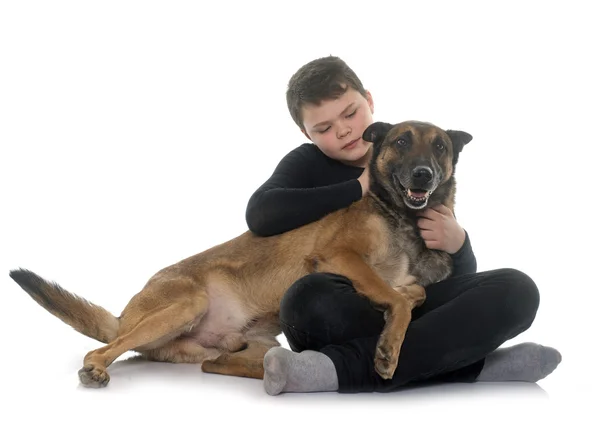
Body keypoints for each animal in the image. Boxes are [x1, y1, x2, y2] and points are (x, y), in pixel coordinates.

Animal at [7, 120, 472, 388]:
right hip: (185, 304)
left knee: (221, 364)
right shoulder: (340, 256)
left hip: (244, 345)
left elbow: (413, 294)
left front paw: (399, 309)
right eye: (402, 141)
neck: (402, 217)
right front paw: (389, 346)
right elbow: (397, 299)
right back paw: (97, 368)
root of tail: (123, 317)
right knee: (100, 351)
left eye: (440, 148)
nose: (423, 175)